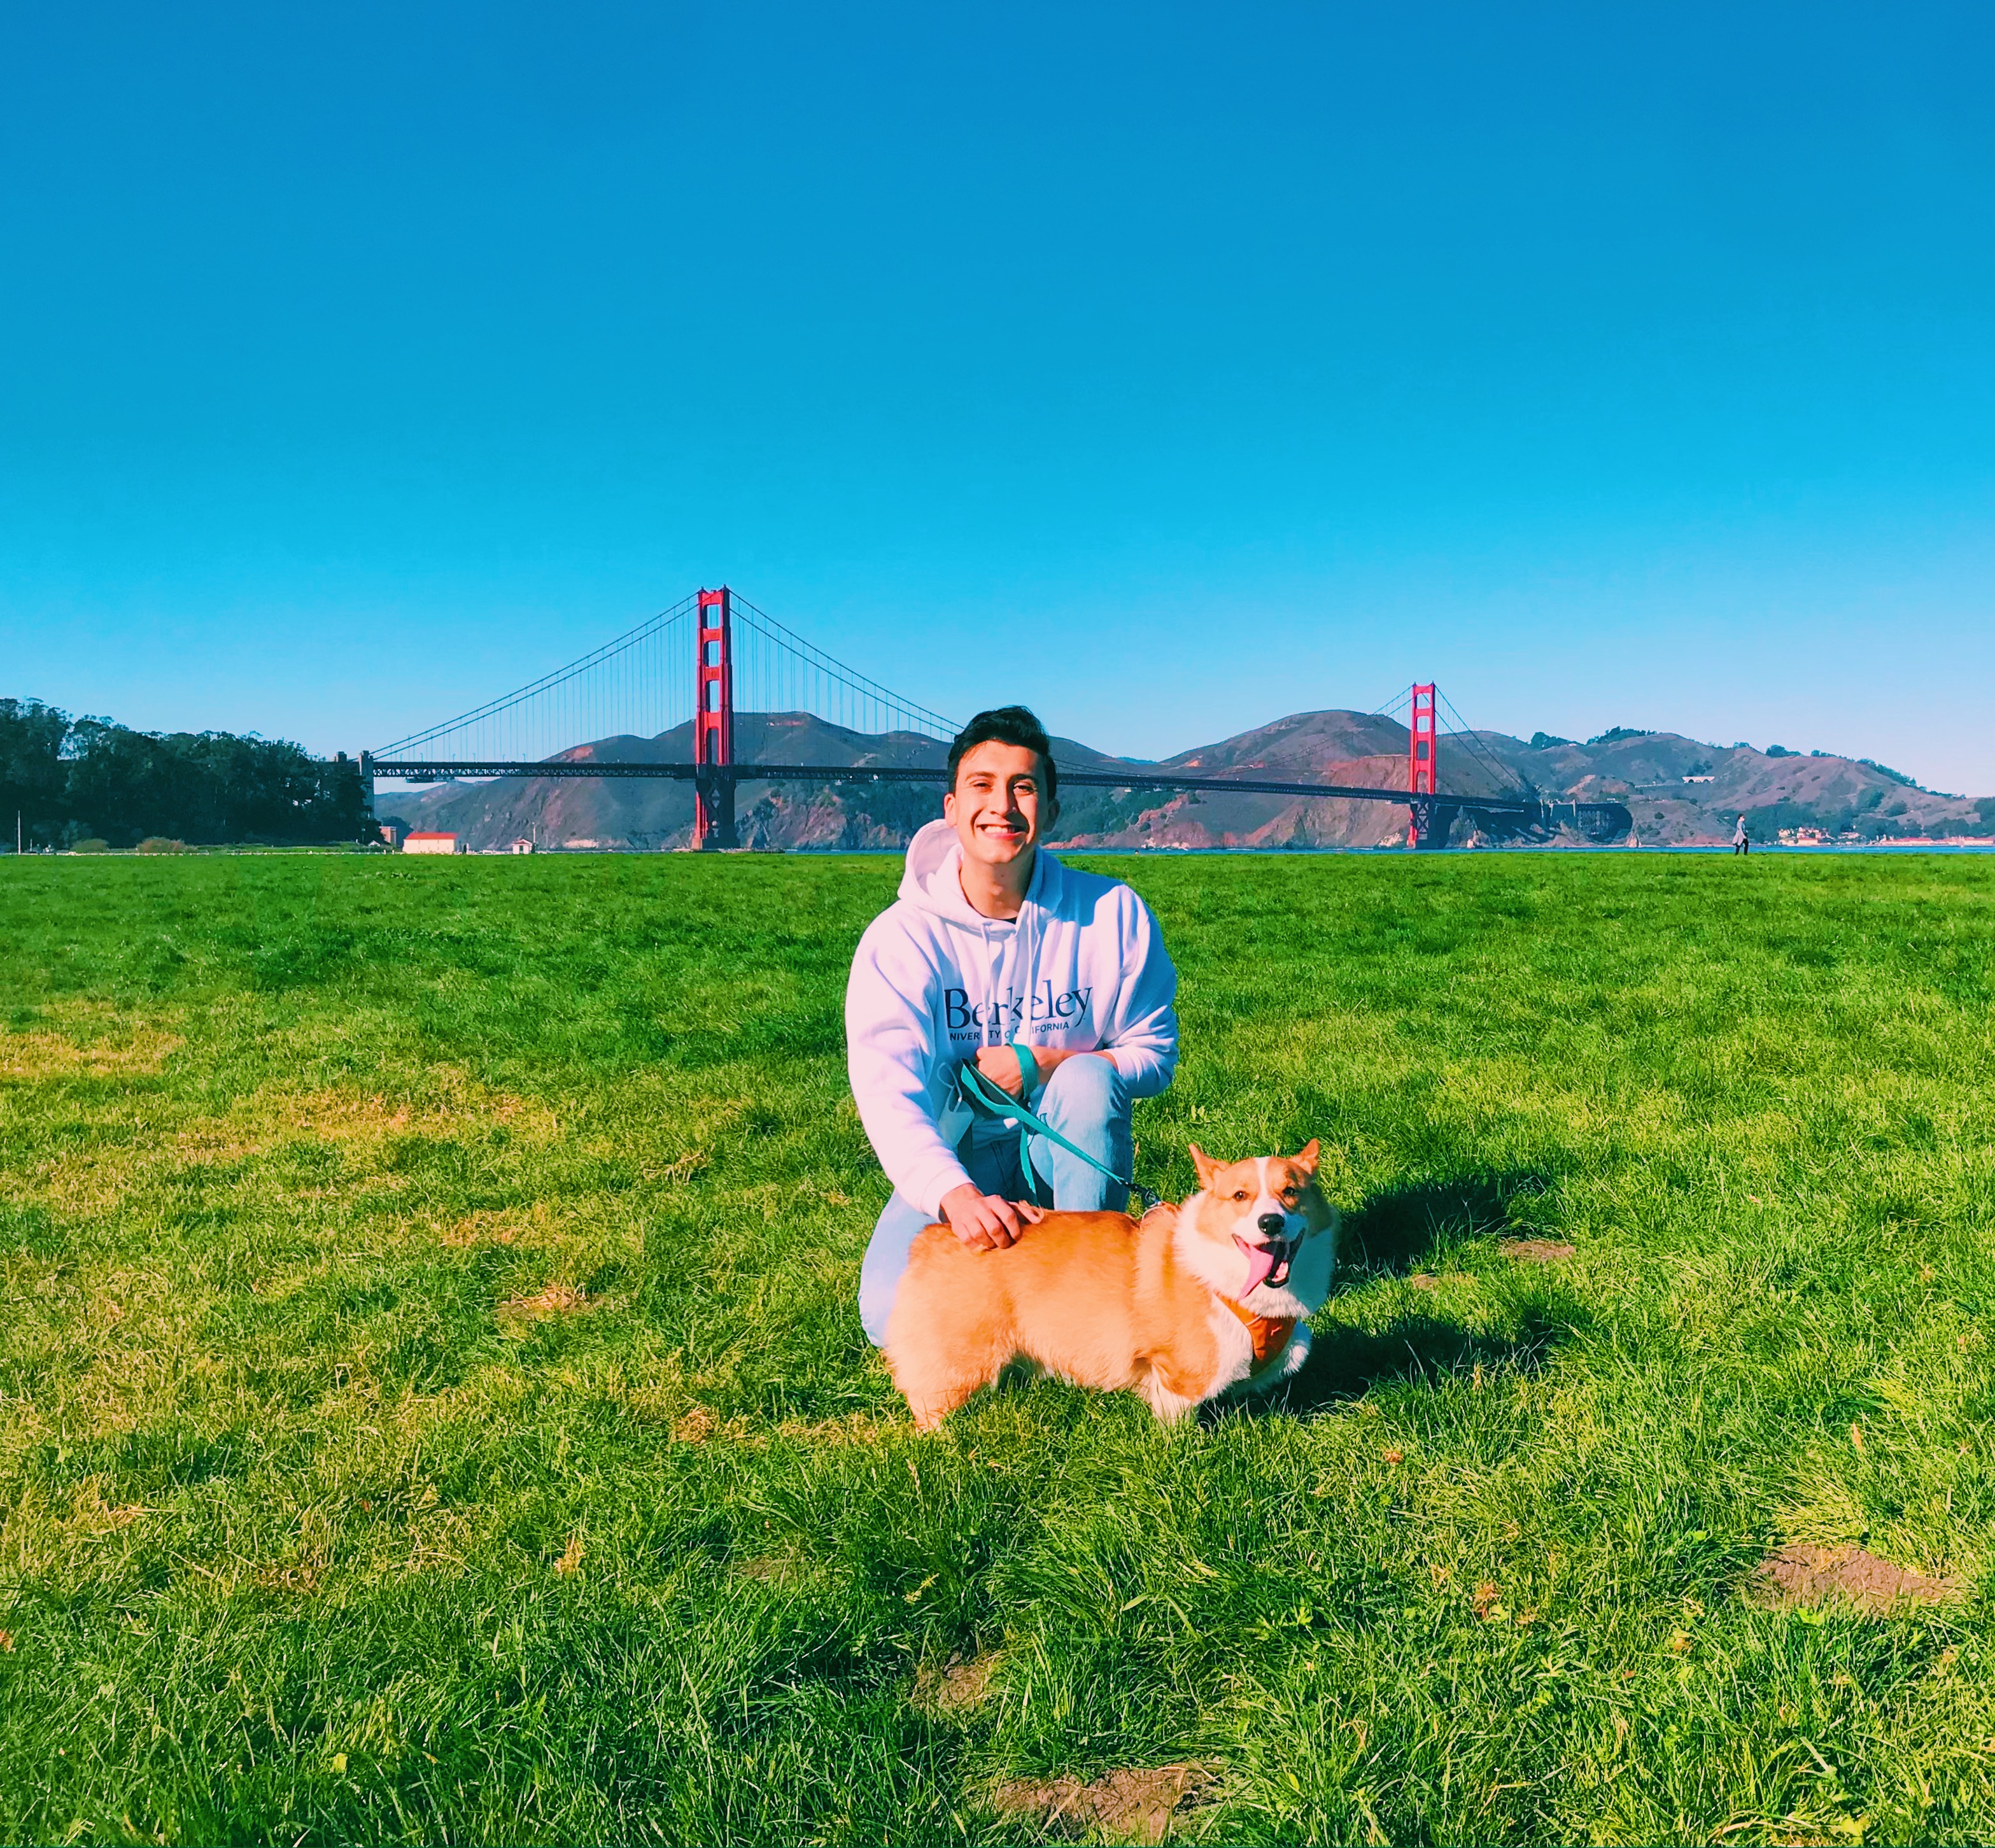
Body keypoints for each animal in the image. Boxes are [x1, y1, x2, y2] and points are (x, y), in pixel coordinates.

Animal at [882, 1141, 1332, 1428]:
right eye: (1240, 1196)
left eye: (1291, 1192)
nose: (1270, 1223)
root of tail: (932, 1237)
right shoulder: (1178, 1375)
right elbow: (1179, 1421)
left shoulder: (1292, 1343)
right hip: (962, 1359)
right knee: (929, 1405)